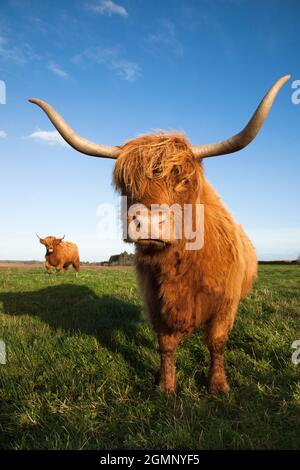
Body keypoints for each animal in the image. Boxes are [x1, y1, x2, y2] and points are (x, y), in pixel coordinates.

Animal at [29, 74, 290, 392]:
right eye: (125, 184)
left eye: (185, 180)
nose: (150, 223)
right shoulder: (155, 303)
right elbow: (166, 345)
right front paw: (165, 387)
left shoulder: (226, 305)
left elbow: (216, 343)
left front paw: (218, 385)